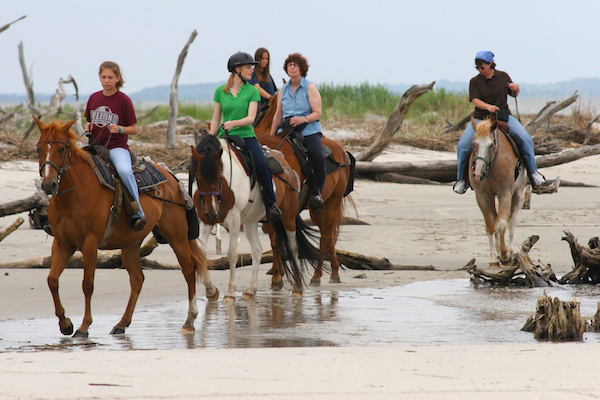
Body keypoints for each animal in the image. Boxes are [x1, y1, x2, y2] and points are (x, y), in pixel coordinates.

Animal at [34, 116, 218, 338]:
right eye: (38, 148)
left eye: (62, 149)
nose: (48, 185)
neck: (74, 196)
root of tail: (171, 177)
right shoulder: (62, 244)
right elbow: (52, 280)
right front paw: (65, 323)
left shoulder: (90, 244)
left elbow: (88, 284)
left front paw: (84, 326)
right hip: (131, 244)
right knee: (137, 279)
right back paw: (122, 323)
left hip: (177, 236)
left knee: (189, 269)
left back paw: (189, 321)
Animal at [191, 134, 318, 296]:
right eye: (199, 178)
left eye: (219, 176)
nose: (212, 212)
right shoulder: (205, 220)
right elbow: (199, 254)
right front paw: (211, 290)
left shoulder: (234, 218)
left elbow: (232, 254)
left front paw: (230, 293)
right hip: (251, 221)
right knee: (257, 250)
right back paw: (251, 290)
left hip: (288, 216)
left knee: (293, 245)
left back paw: (297, 287)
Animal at [252, 93, 354, 288]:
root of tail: (342, 152)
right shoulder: (270, 211)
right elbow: (275, 241)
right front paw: (277, 276)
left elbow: (281, 239)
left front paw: (281, 275)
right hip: (318, 210)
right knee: (329, 239)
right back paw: (334, 271)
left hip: (332, 203)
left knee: (325, 239)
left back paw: (317, 276)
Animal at [468, 117, 524, 268]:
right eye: (473, 144)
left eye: (491, 145)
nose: (478, 174)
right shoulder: (482, 196)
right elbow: (490, 226)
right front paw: (494, 259)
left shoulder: (505, 194)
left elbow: (502, 224)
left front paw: (506, 255)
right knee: (495, 220)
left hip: (518, 193)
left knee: (512, 221)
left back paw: (510, 250)